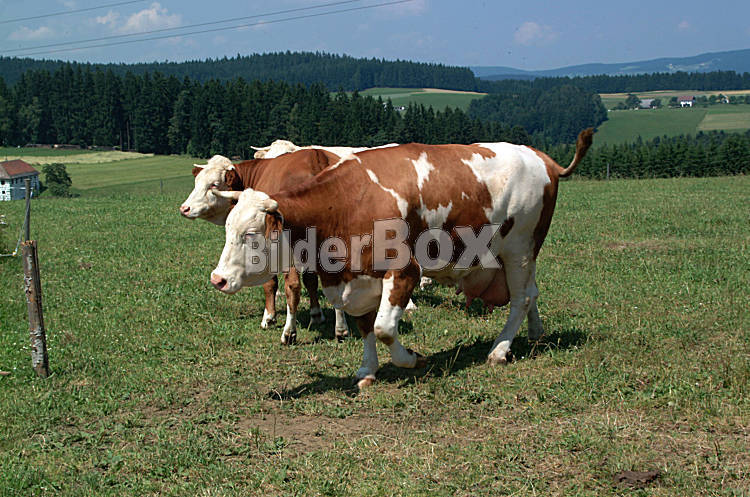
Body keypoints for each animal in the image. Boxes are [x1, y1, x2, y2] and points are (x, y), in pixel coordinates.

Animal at [179, 149, 351, 344]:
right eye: (197, 182)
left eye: (214, 185)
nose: (184, 208)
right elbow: (311, 280)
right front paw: (316, 315)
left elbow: (271, 284)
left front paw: (269, 317)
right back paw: (341, 329)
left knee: (293, 286)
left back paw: (289, 333)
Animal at [208, 129, 594, 388]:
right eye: (227, 228)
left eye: (250, 234)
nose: (217, 279)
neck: (349, 200)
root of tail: (541, 157)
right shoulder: (358, 279)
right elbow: (366, 327)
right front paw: (367, 371)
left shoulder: (405, 270)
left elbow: (383, 328)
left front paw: (410, 359)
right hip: (521, 254)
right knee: (532, 293)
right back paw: (535, 333)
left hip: (520, 247)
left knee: (521, 298)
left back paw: (500, 350)